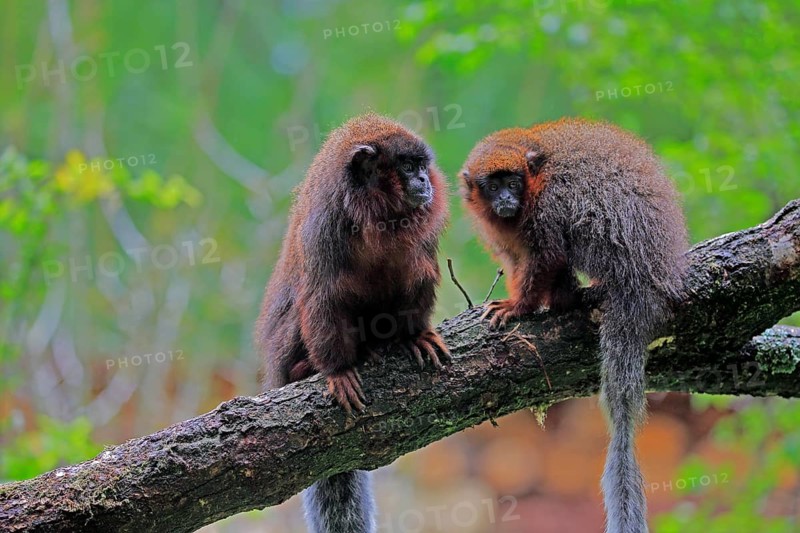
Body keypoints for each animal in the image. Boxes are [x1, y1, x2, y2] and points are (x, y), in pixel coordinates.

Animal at [255, 113, 450, 533]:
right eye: (407, 167)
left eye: (422, 166)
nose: (424, 181)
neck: (378, 218)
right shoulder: (326, 226)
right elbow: (320, 297)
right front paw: (338, 370)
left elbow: (418, 276)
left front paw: (416, 335)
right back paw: (306, 368)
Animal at [460, 118, 688, 533]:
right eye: (493, 187)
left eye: (513, 182)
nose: (506, 199)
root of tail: (648, 272)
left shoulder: (548, 204)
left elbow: (547, 253)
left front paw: (518, 307)